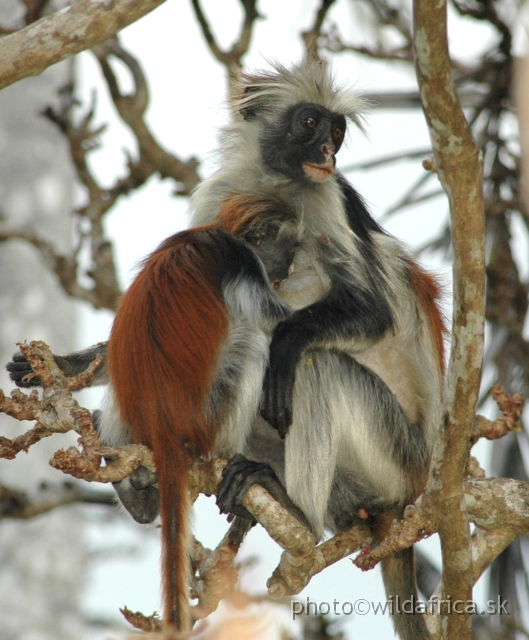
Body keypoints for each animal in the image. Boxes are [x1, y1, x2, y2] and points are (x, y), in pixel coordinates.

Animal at [9, 61, 446, 640]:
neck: (275, 182)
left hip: (395, 452)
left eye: (337, 132)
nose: (327, 152)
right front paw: (58, 365)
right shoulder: (223, 199)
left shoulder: (327, 200)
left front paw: (288, 340)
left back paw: (296, 510)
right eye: (311, 123)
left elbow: (372, 312)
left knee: (314, 367)